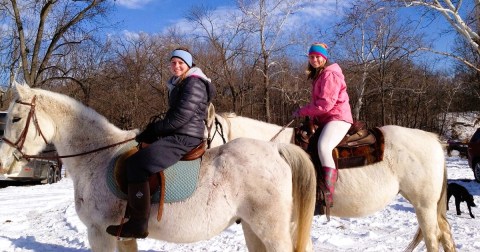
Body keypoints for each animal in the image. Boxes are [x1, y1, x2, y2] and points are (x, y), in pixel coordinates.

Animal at [0, 84, 318, 252]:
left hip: (270, 229)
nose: (3, 163)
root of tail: (274, 149)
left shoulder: (100, 233)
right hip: (253, 228)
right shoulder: (123, 236)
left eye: (15, 118)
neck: (96, 157)